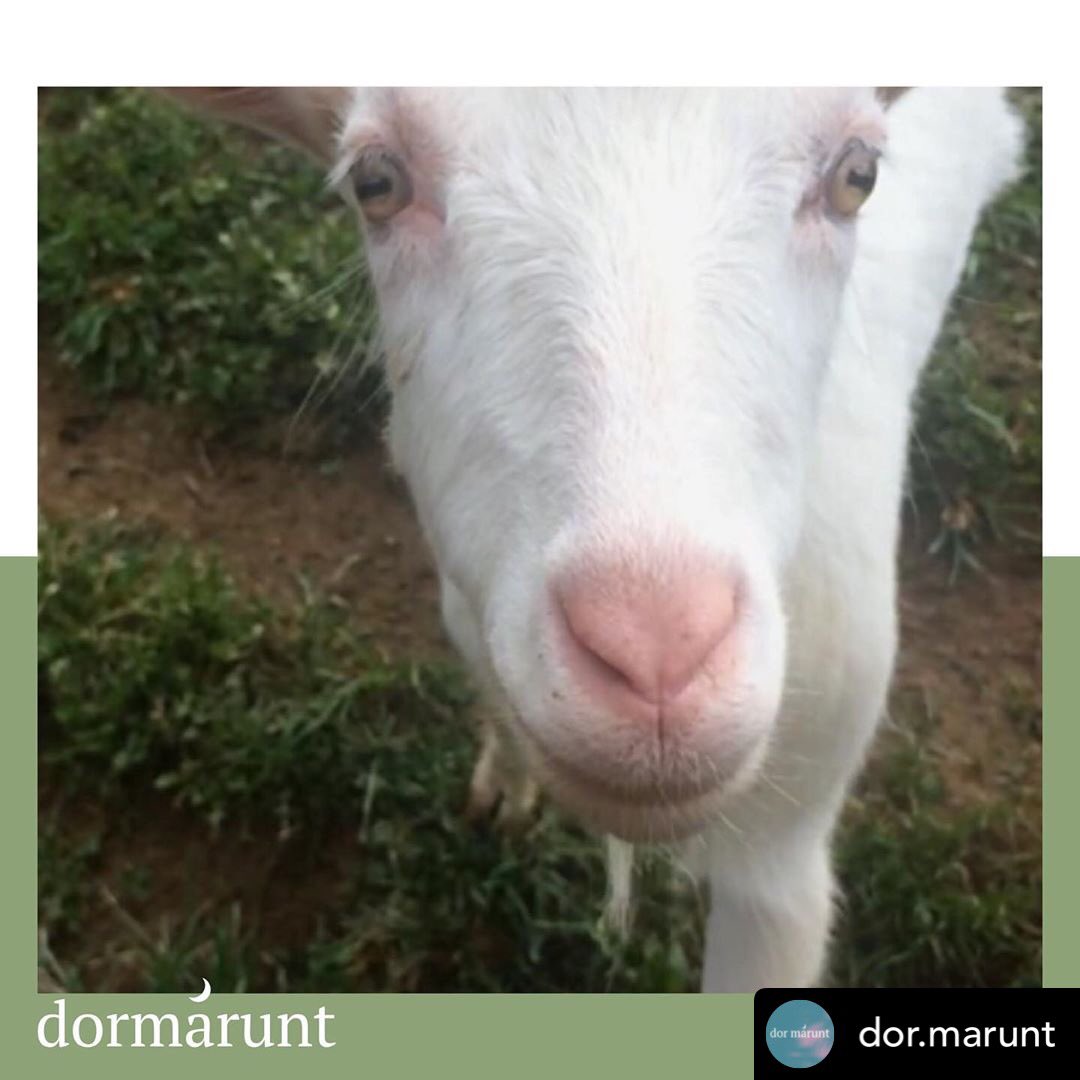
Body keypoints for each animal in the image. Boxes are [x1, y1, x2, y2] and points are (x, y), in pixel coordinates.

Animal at [167, 88, 1022, 992]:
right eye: (375, 182)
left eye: (858, 175)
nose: (656, 654)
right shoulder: (476, 613)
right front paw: (504, 793)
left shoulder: (784, 854)